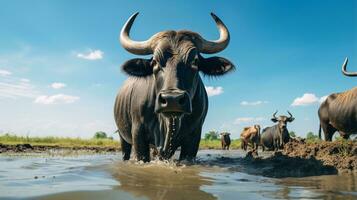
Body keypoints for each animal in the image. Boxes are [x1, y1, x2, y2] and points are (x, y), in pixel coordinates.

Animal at [114, 12, 235, 162]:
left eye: (195, 61)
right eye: (155, 62)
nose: (172, 99)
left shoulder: (194, 136)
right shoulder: (138, 133)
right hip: (123, 137)